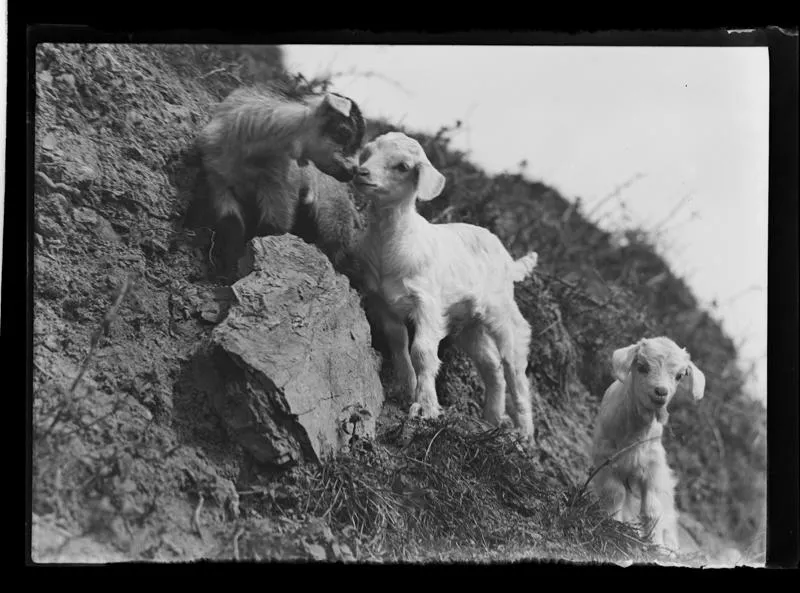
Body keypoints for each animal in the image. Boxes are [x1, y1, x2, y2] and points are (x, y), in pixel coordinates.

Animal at [194, 84, 366, 281]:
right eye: (344, 132)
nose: (353, 171)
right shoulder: (218, 179)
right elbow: (231, 224)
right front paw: (227, 270)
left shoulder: (279, 186)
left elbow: (272, 229)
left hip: (334, 216)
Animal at [352, 132, 539, 446]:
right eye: (367, 154)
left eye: (403, 166)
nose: (361, 172)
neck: (391, 245)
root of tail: (508, 259)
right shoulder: (382, 302)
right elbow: (398, 342)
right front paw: (408, 386)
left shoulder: (426, 303)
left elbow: (422, 351)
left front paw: (426, 407)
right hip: (469, 325)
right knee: (492, 366)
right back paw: (491, 419)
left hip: (501, 312)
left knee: (514, 363)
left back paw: (524, 434)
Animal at [591, 336, 706, 553]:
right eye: (642, 367)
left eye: (679, 375)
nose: (661, 391)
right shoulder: (606, 461)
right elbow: (614, 494)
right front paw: (612, 524)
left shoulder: (653, 469)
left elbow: (653, 508)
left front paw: (656, 545)